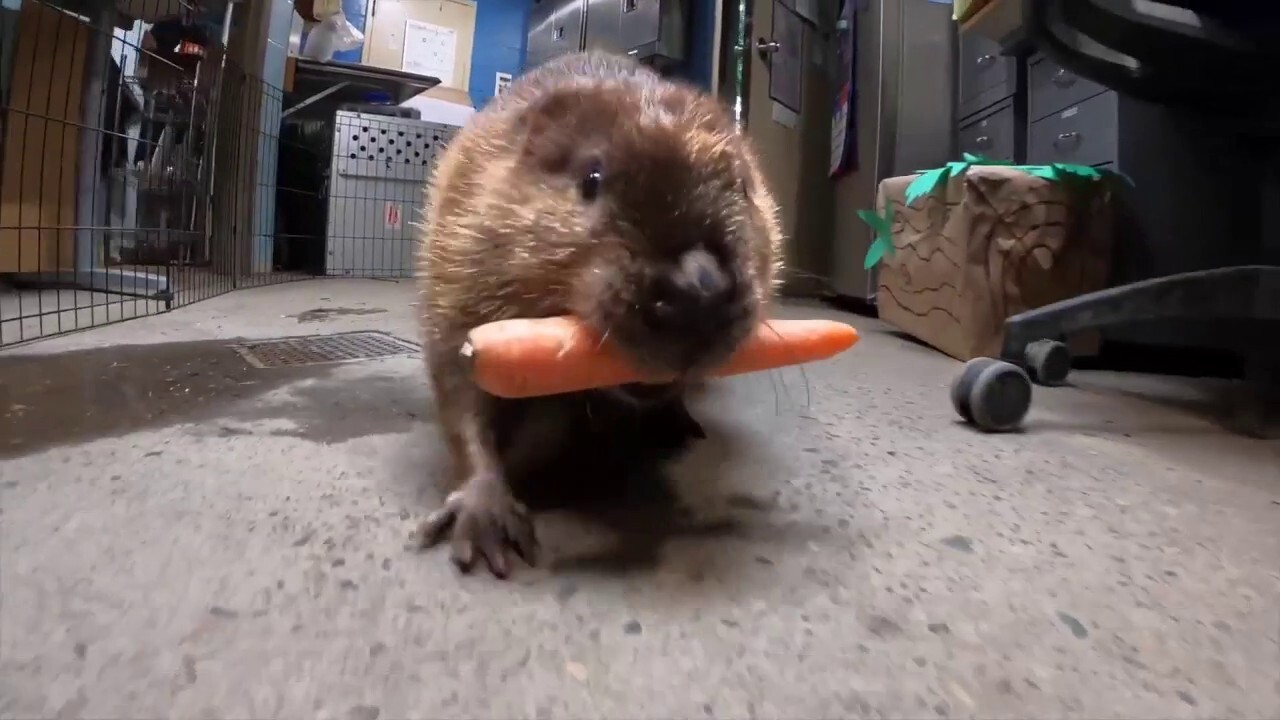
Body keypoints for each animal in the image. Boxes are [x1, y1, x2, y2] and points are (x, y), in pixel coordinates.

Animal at [414, 50, 783, 573]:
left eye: (745, 189)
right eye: (592, 178)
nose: (699, 288)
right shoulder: (459, 244)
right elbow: (458, 381)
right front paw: (486, 523)